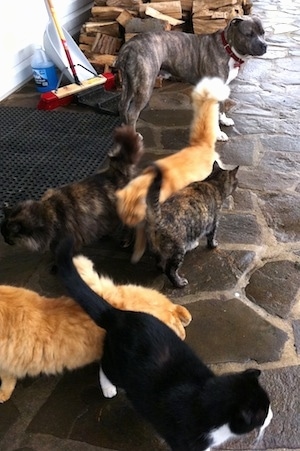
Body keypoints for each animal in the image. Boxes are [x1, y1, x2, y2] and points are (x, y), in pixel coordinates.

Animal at [0, 125, 143, 256]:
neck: (48, 213)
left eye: (8, 237)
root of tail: (117, 171)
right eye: (4, 236)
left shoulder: (69, 240)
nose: (5, 241)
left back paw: (126, 239)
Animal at [55, 240, 274, 451]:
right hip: (118, 365)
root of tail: (118, 314)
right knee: (105, 366)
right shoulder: (184, 440)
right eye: (263, 413)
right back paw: (109, 389)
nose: (272, 416)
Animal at [115, 15, 268, 140]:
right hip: (145, 86)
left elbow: (222, 106)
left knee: (123, 105)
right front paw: (218, 134)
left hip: (129, 83)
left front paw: (224, 120)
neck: (228, 48)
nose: (265, 45)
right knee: (132, 113)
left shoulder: (222, 87)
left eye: (263, 33)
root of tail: (129, 46)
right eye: (249, 34)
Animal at [115, 76, 230, 264]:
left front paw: (136, 252)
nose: (130, 224)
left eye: (134, 217)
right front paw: (127, 239)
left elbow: (142, 238)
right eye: (126, 219)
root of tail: (200, 144)